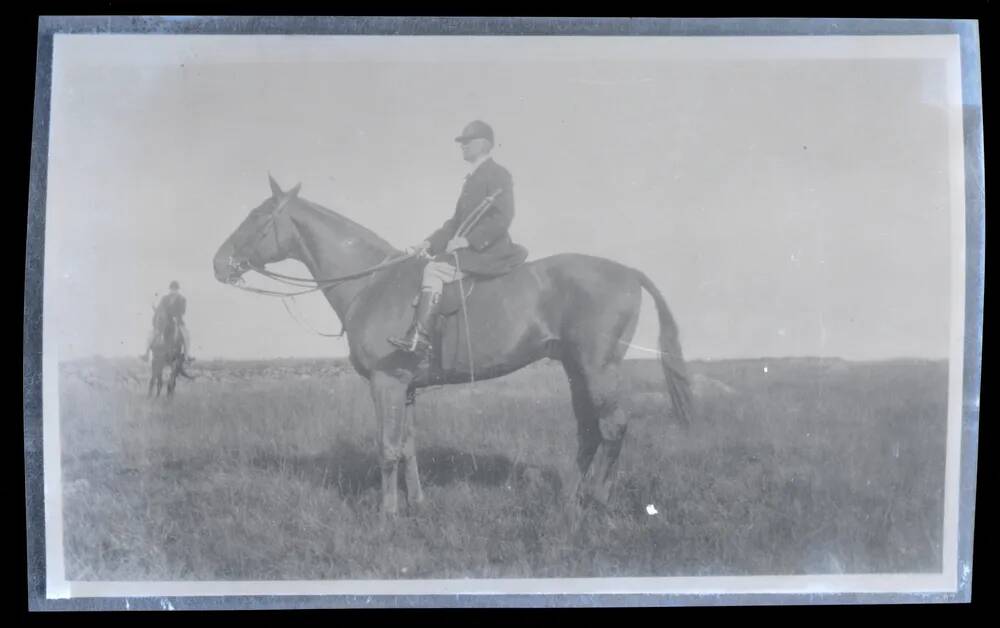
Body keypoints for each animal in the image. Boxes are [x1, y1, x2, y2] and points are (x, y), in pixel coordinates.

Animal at [213, 175, 696, 516]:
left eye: (257, 217)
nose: (218, 264)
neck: (372, 282)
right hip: (575, 369)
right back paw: (570, 499)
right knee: (588, 430)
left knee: (613, 427)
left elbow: (387, 447)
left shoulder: (386, 382)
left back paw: (597, 501)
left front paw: (387, 514)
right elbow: (408, 446)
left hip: (598, 368)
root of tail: (628, 271)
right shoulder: (405, 387)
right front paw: (416, 505)